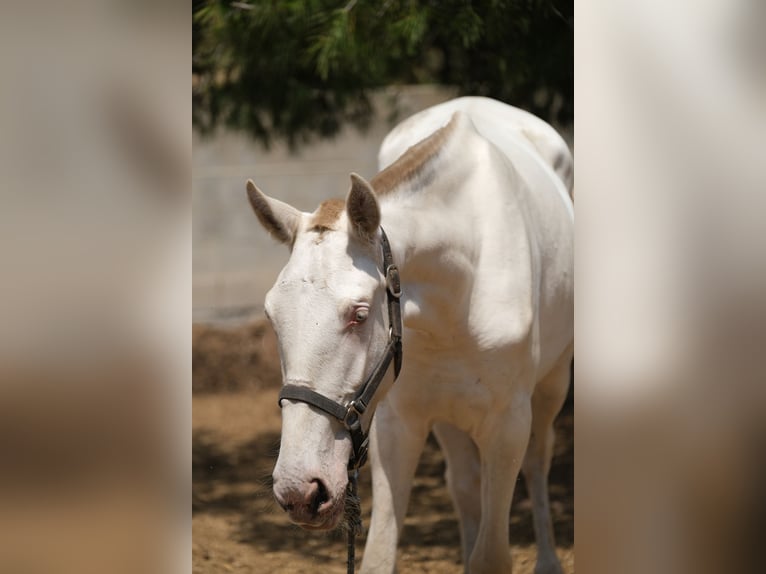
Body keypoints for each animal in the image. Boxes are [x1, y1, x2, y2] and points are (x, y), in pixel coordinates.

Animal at [249, 98, 572, 574]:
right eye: (273, 316)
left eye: (360, 314)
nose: (301, 491)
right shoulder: (397, 424)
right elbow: (380, 557)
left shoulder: (507, 427)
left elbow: (492, 554)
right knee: (462, 481)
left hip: (552, 384)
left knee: (538, 459)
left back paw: (548, 560)